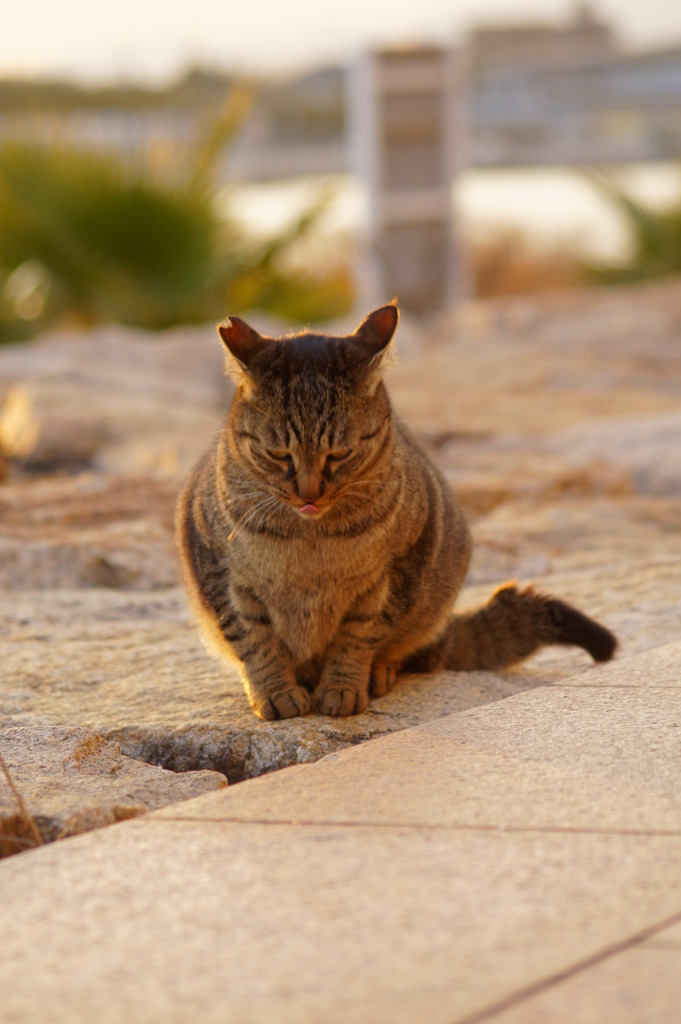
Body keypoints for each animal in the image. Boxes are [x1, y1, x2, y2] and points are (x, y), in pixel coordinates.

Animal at [176, 303, 614, 720]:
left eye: (339, 454)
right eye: (278, 455)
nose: (308, 493)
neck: (308, 542)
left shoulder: (394, 575)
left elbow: (356, 638)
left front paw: (343, 687)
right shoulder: (220, 574)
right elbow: (255, 642)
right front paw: (275, 692)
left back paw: (380, 672)